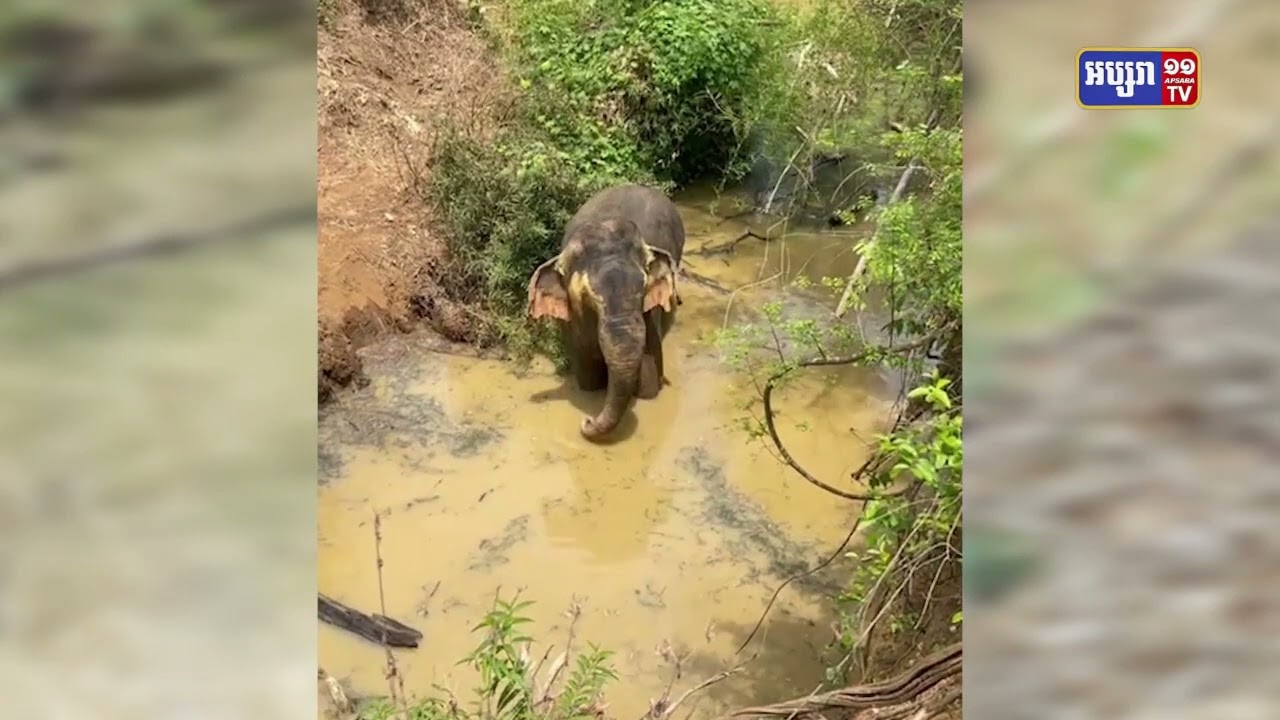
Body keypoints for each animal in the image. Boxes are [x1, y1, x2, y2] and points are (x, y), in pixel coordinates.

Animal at [524, 181, 686, 438]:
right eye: (588, 299)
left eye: (643, 289)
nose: (587, 421)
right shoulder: (573, 325)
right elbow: (588, 381)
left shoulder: (649, 320)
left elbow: (649, 385)